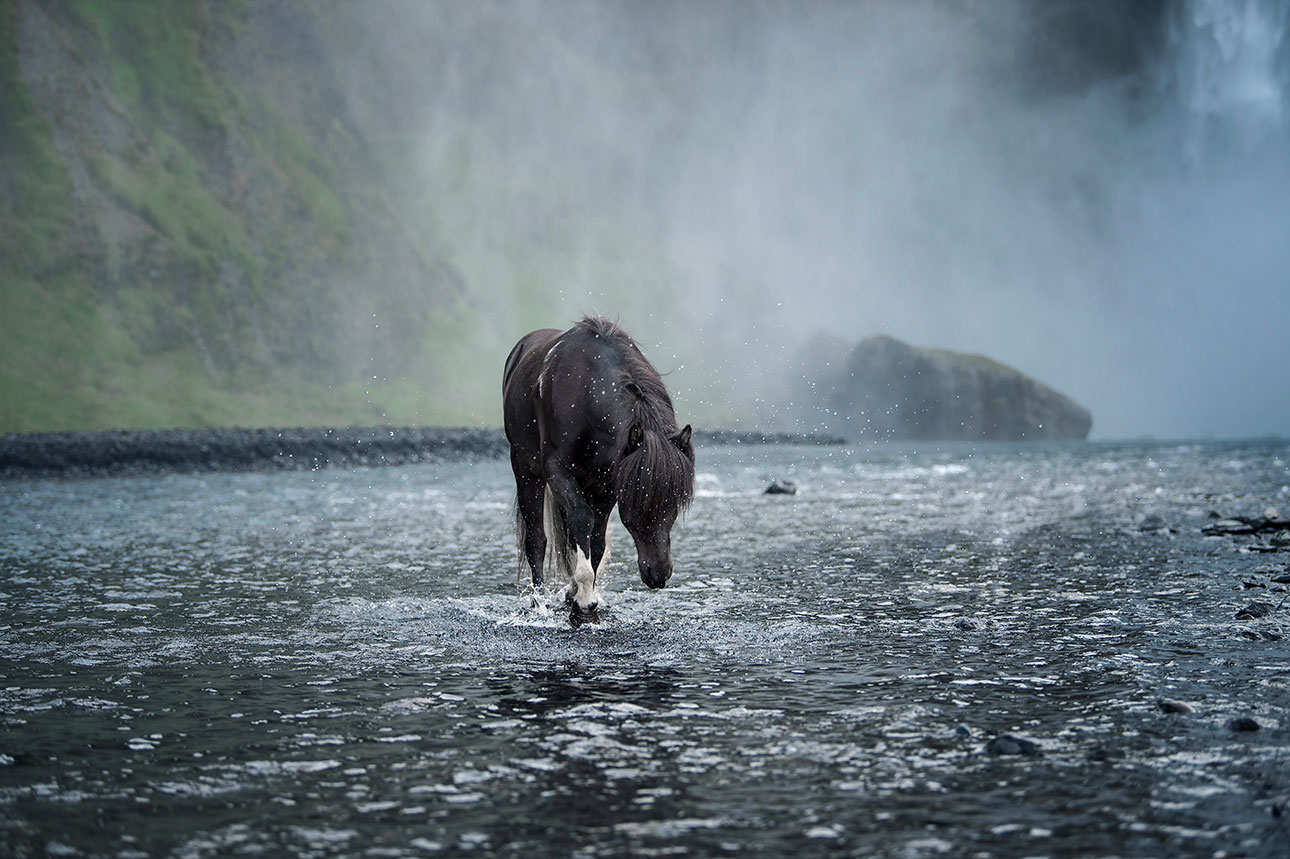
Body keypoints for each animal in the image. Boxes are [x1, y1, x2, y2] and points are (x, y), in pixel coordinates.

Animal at [503, 314, 696, 621]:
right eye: (639, 502)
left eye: (675, 502)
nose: (659, 574)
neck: (587, 392)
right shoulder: (558, 471)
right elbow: (581, 521)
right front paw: (584, 604)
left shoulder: (608, 484)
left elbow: (595, 540)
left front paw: (582, 597)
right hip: (525, 469)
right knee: (536, 539)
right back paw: (539, 604)